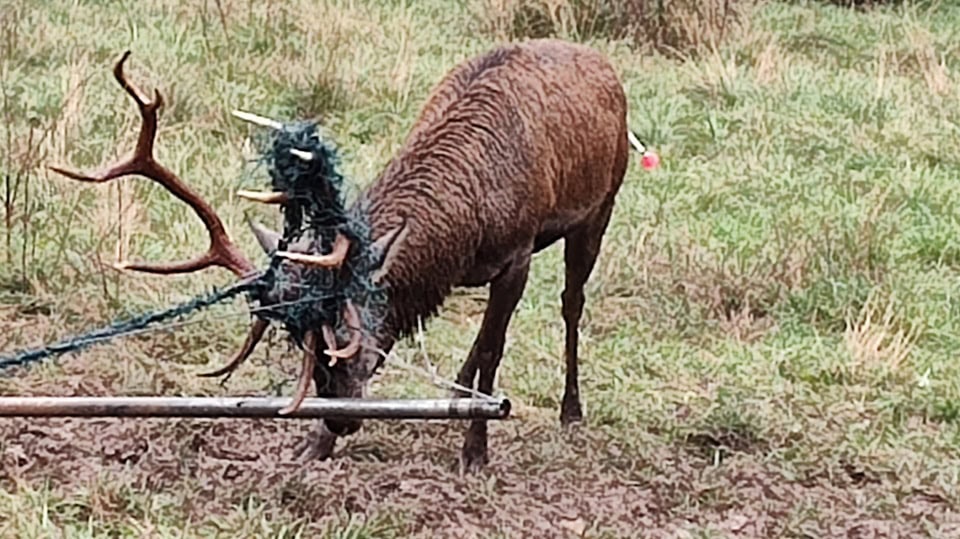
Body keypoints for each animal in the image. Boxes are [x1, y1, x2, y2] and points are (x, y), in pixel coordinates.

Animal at [50, 38, 648, 472]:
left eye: (346, 338)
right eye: (301, 347)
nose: (339, 420)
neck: (470, 225)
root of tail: (605, 67)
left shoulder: (518, 251)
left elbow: (496, 348)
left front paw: (475, 451)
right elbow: (481, 341)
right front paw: (314, 447)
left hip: (603, 203)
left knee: (571, 303)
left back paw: (571, 409)